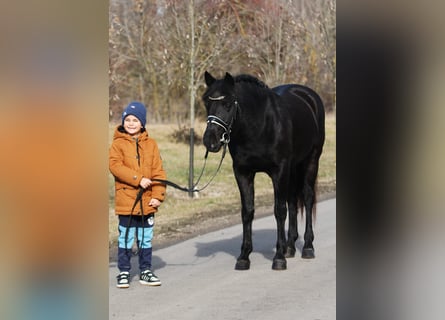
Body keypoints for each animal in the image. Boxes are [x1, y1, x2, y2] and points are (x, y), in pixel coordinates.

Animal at [203, 70, 324, 270]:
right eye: (206, 102)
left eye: (227, 103)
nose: (210, 141)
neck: (260, 125)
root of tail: (308, 95)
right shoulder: (243, 173)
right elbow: (247, 212)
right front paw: (244, 257)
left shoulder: (279, 171)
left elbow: (279, 211)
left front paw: (279, 258)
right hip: (293, 168)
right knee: (292, 200)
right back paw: (290, 247)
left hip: (311, 161)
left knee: (307, 198)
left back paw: (307, 247)